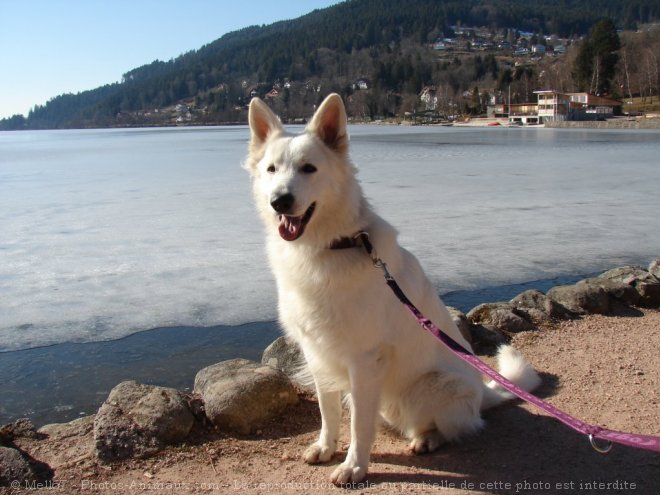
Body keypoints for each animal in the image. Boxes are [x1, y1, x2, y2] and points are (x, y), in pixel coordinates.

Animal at [245, 95, 540, 486]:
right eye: (272, 169)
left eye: (309, 169)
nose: (280, 200)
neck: (331, 246)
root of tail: (482, 392)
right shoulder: (317, 352)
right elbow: (328, 412)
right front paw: (326, 447)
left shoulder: (364, 361)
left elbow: (359, 426)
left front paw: (354, 466)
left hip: (434, 386)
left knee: (456, 426)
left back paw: (428, 439)